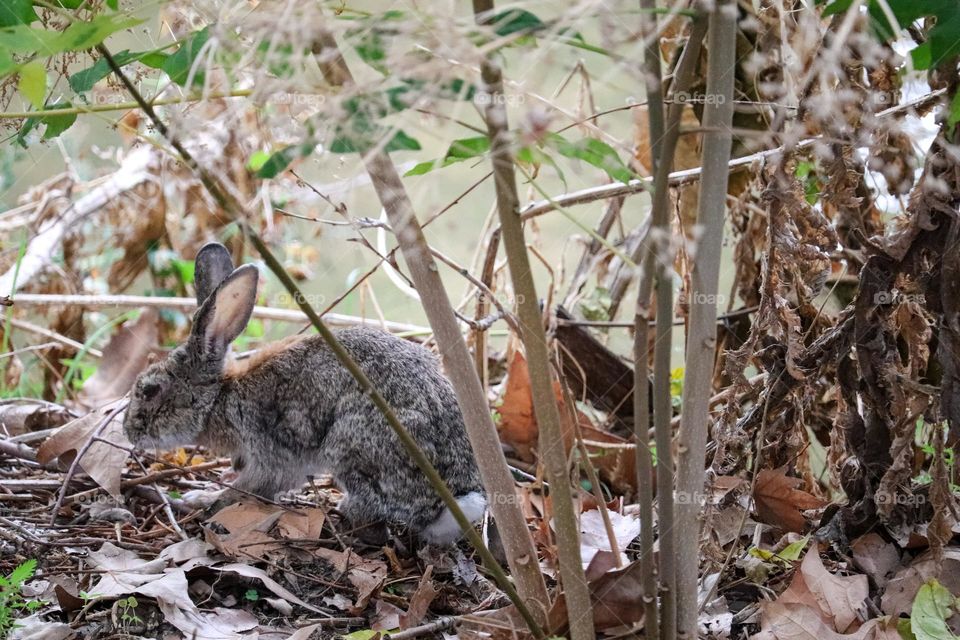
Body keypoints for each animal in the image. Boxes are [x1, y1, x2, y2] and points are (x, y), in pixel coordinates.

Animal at [123, 242, 488, 544]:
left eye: (150, 390)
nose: (129, 432)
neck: (219, 399)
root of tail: (452, 504)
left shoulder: (267, 453)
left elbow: (251, 486)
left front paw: (203, 500)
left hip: (353, 445)